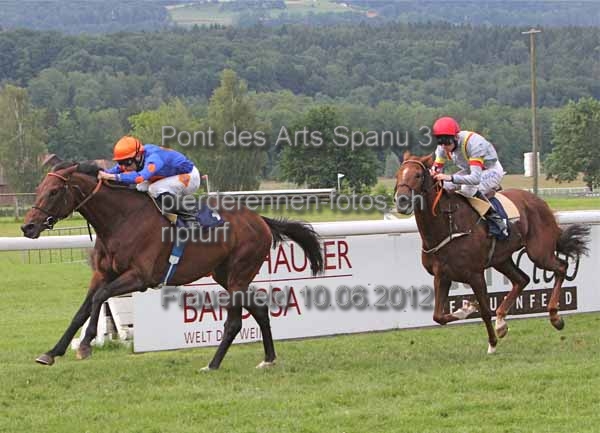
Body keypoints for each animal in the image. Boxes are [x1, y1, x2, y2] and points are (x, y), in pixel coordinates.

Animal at [22, 162, 324, 368]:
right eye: (38, 190)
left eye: (53, 192)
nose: (28, 226)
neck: (121, 219)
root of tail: (260, 219)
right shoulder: (102, 274)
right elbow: (82, 310)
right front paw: (51, 352)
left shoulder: (140, 278)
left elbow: (99, 299)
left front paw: (85, 345)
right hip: (226, 275)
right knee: (259, 309)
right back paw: (268, 359)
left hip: (239, 273)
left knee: (234, 322)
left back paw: (212, 364)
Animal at [394, 152, 592, 352]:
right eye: (398, 174)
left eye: (418, 175)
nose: (401, 200)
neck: (448, 225)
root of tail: (540, 202)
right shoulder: (442, 275)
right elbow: (438, 316)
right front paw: (466, 311)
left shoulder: (475, 274)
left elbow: (484, 311)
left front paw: (491, 342)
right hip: (501, 259)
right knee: (522, 279)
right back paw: (501, 322)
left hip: (539, 252)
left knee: (561, 267)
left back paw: (555, 317)